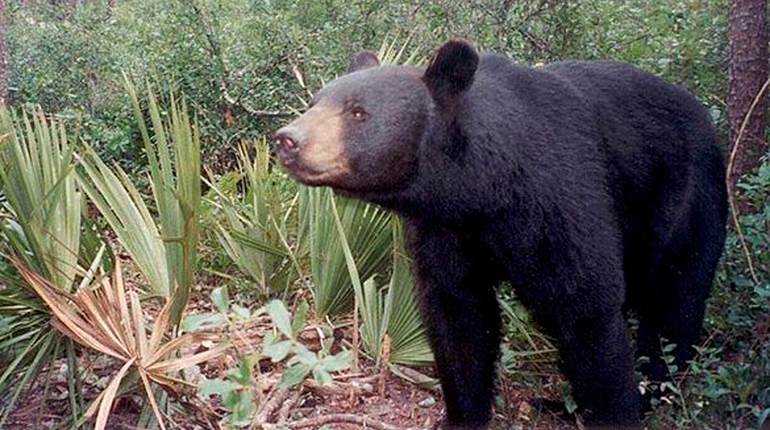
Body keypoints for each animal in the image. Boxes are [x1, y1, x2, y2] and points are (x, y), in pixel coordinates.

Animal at [273, 40, 728, 429]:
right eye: (314, 102)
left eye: (357, 112)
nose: (287, 140)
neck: (483, 189)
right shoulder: (444, 228)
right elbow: (458, 314)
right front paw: (462, 415)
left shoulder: (562, 196)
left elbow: (588, 306)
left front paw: (615, 408)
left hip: (684, 199)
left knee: (674, 300)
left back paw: (650, 388)